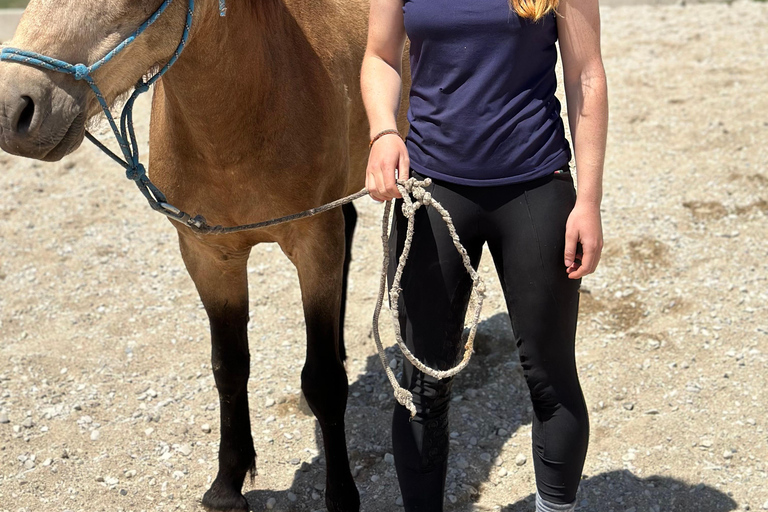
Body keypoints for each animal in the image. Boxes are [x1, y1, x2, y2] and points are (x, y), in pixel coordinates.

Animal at [0, 0, 409, 510]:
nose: (14, 107)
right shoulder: (209, 257)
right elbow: (228, 368)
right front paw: (227, 484)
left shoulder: (316, 244)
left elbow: (323, 381)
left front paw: (341, 496)